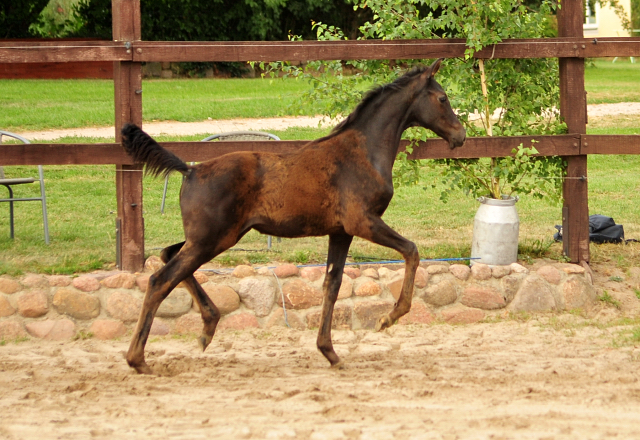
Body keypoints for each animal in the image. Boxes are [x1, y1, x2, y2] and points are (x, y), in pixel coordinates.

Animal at [122, 57, 468, 374]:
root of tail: (190, 170)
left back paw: (208, 327)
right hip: (213, 238)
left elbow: (332, 284)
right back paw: (138, 359)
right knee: (159, 279)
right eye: (442, 98)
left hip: (209, 237)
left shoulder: (340, 231)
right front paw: (387, 318)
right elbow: (411, 250)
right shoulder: (363, 222)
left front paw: (329, 352)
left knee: (168, 255)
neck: (364, 151)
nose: (461, 135)